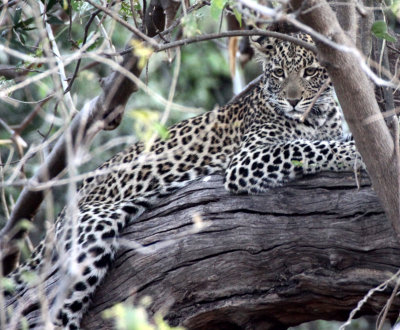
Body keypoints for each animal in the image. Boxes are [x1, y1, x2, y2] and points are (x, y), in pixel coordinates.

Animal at [4, 32, 364, 328]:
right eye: (279, 73)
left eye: (310, 72)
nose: (293, 100)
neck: (319, 116)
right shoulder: (246, 160)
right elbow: (303, 146)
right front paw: (353, 153)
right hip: (92, 231)